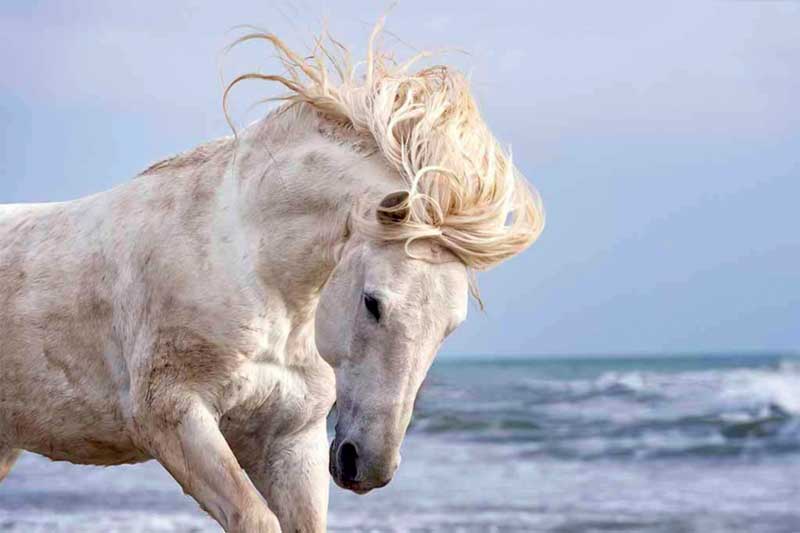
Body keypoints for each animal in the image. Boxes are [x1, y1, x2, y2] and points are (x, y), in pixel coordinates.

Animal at [0, 22, 544, 532]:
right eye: (373, 302)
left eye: (449, 328)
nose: (367, 465)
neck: (249, 264)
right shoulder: (175, 417)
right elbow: (256, 518)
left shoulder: (292, 438)